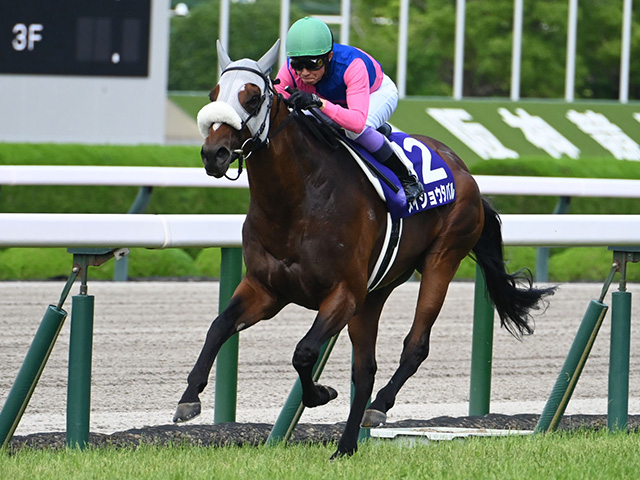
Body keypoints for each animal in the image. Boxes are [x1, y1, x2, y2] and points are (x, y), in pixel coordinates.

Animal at [173, 40, 555, 458]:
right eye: (213, 95)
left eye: (253, 97)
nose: (214, 153)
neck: (297, 202)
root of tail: (464, 170)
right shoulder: (266, 289)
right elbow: (219, 326)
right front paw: (189, 398)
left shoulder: (342, 294)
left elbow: (304, 352)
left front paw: (320, 393)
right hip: (376, 291)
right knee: (366, 369)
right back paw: (345, 446)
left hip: (443, 257)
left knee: (415, 345)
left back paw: (379, 407)